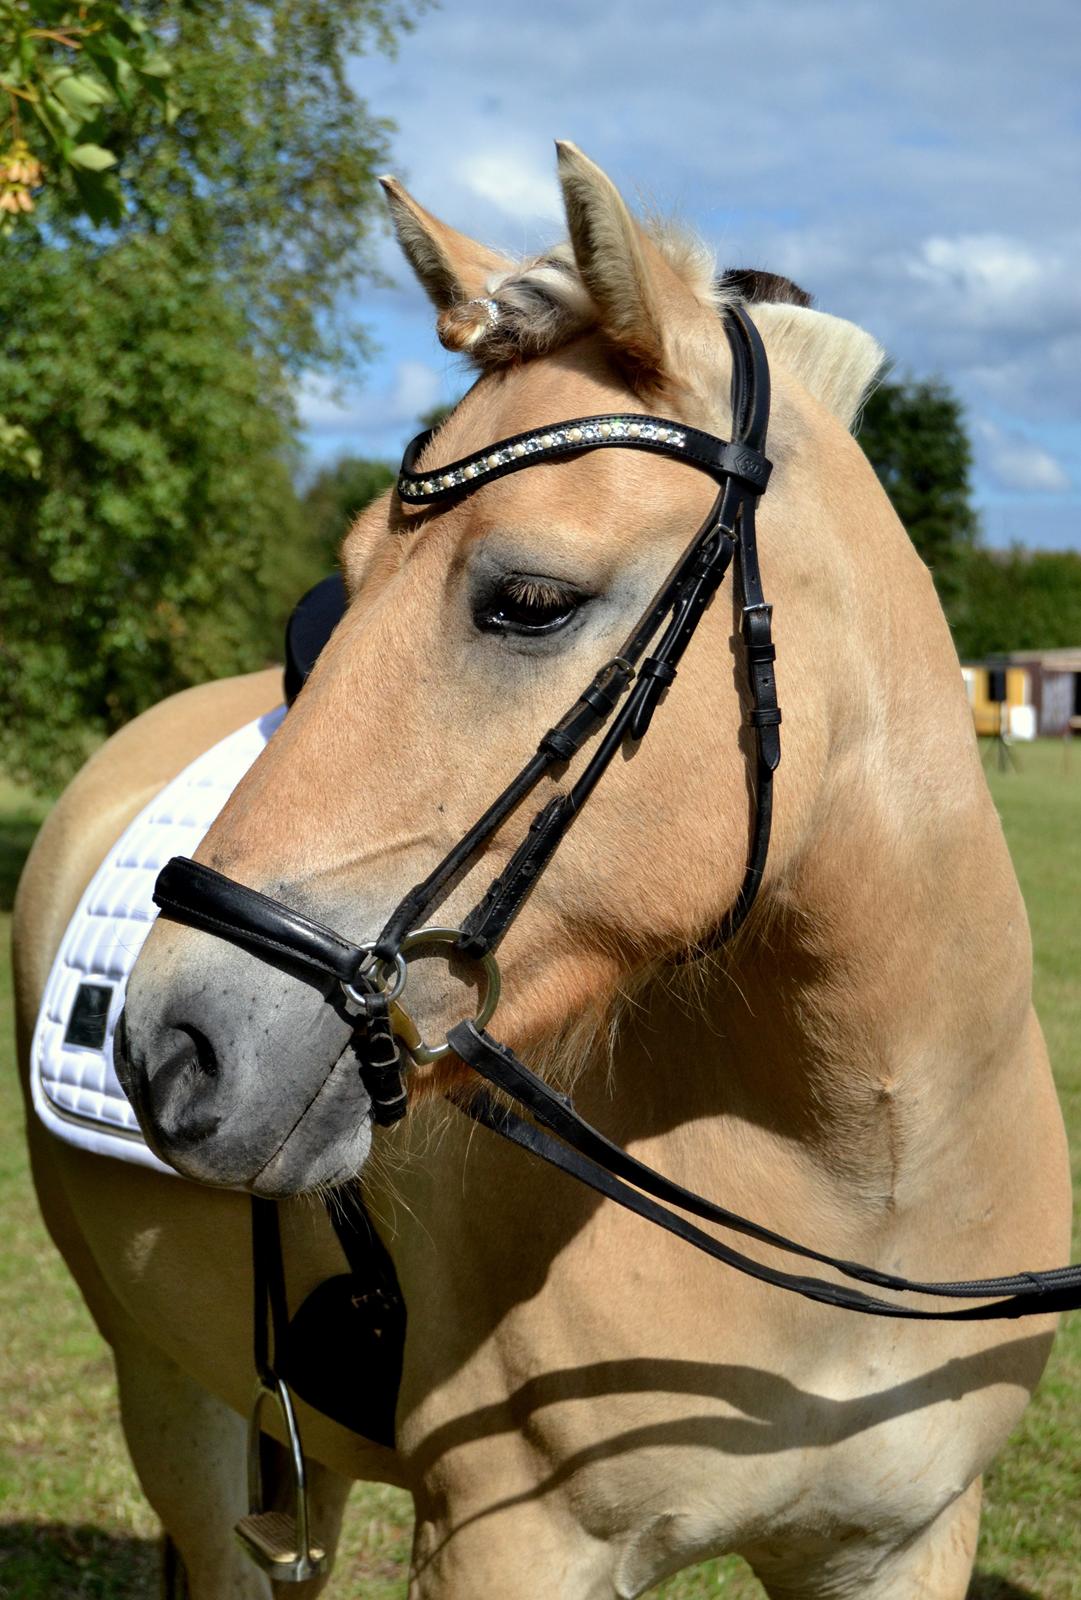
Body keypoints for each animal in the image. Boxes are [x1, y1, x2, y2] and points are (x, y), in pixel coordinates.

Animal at [16, 144, 1074, 1593]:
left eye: (528, 601)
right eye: (351, 573)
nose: (168, 1045)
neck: (865, 1176)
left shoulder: (900, 1541)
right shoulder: (512, 1541)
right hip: (169, 1394)